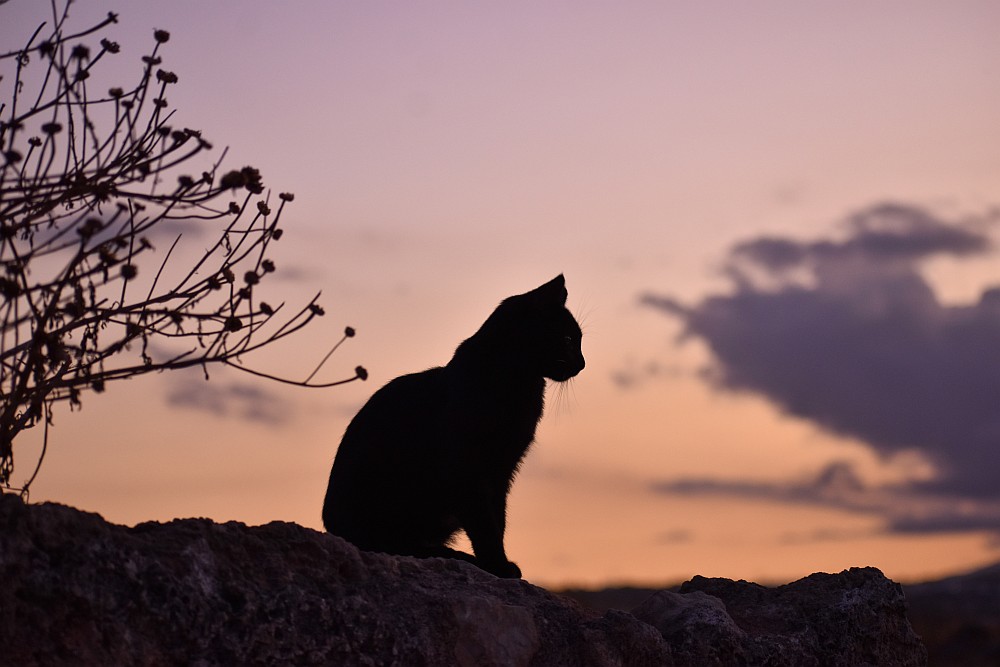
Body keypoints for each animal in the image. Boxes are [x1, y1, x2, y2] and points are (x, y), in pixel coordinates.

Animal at [320, 276, 584, 580]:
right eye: (568, 339)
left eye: (579, 340)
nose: (582, 363)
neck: (519, 384)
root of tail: (333, 527)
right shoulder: (467, 469)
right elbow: (485, 524)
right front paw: (496, 565)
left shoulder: (502, 470)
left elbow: (498, 519)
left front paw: (499, 563)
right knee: (395, 544)